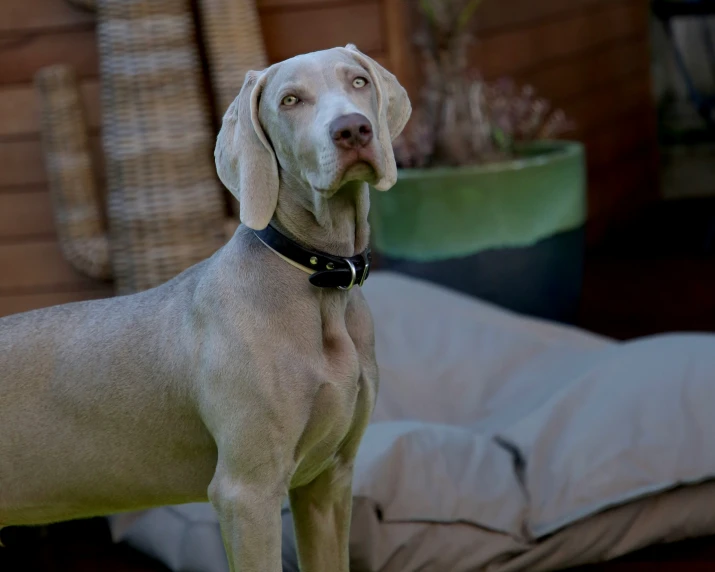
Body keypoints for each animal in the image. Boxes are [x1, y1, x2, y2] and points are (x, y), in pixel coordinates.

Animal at [0, 45, 412, 572]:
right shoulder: (246, 493)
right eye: (290, 100)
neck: (318, 283)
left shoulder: (328, 482)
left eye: (358, 81)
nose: (353, 129)